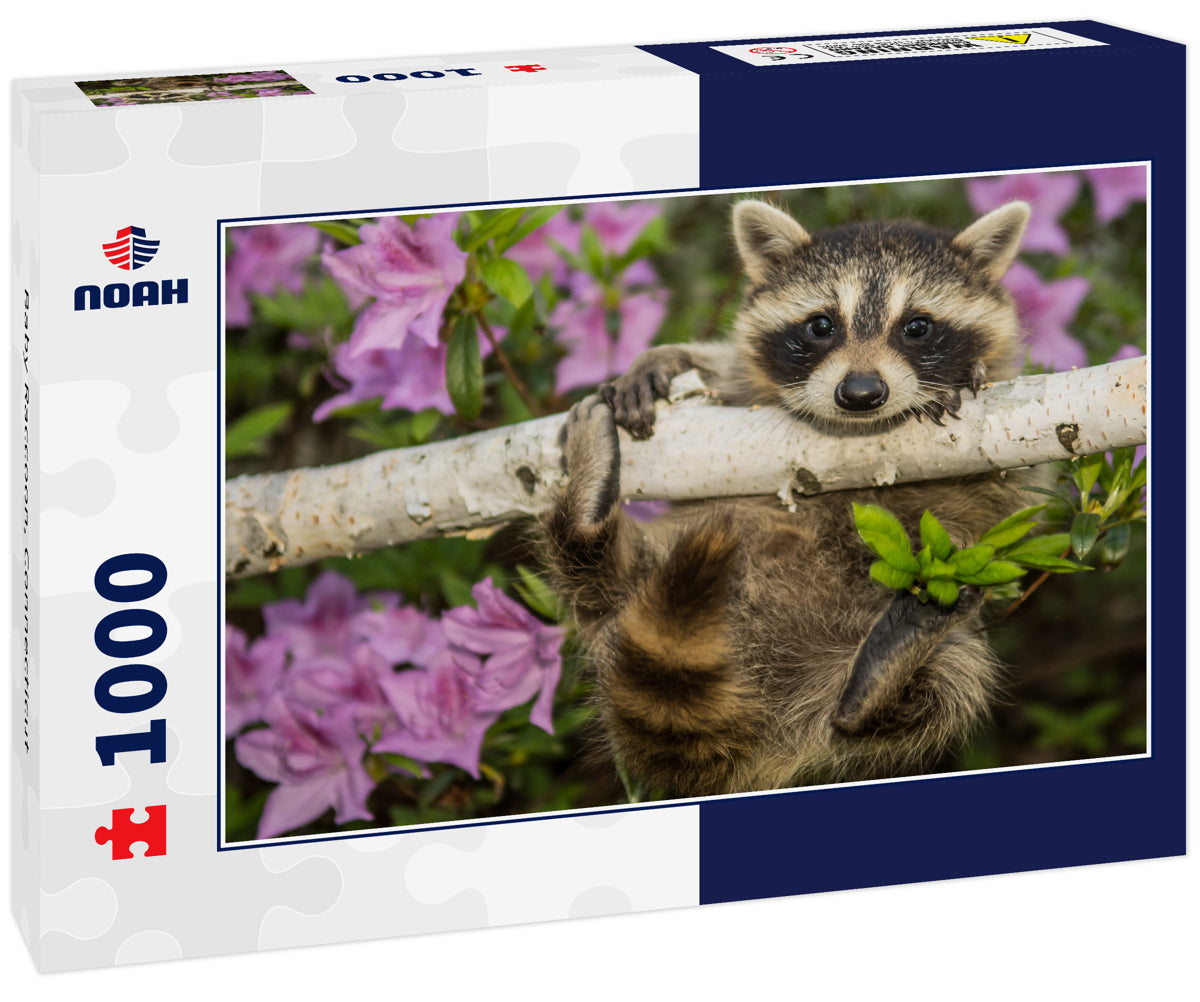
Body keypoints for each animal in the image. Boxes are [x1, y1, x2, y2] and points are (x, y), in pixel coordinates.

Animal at [542, 198, 1034, 798]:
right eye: (821, 325)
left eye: (917, 327)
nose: (861, 394)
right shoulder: (743, 383)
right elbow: (721, 368)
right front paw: (663, 358)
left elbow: (1000, 488)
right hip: (642, 585)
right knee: (591, 571)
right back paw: (585, 519)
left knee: (943, 687)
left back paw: (878, 684)